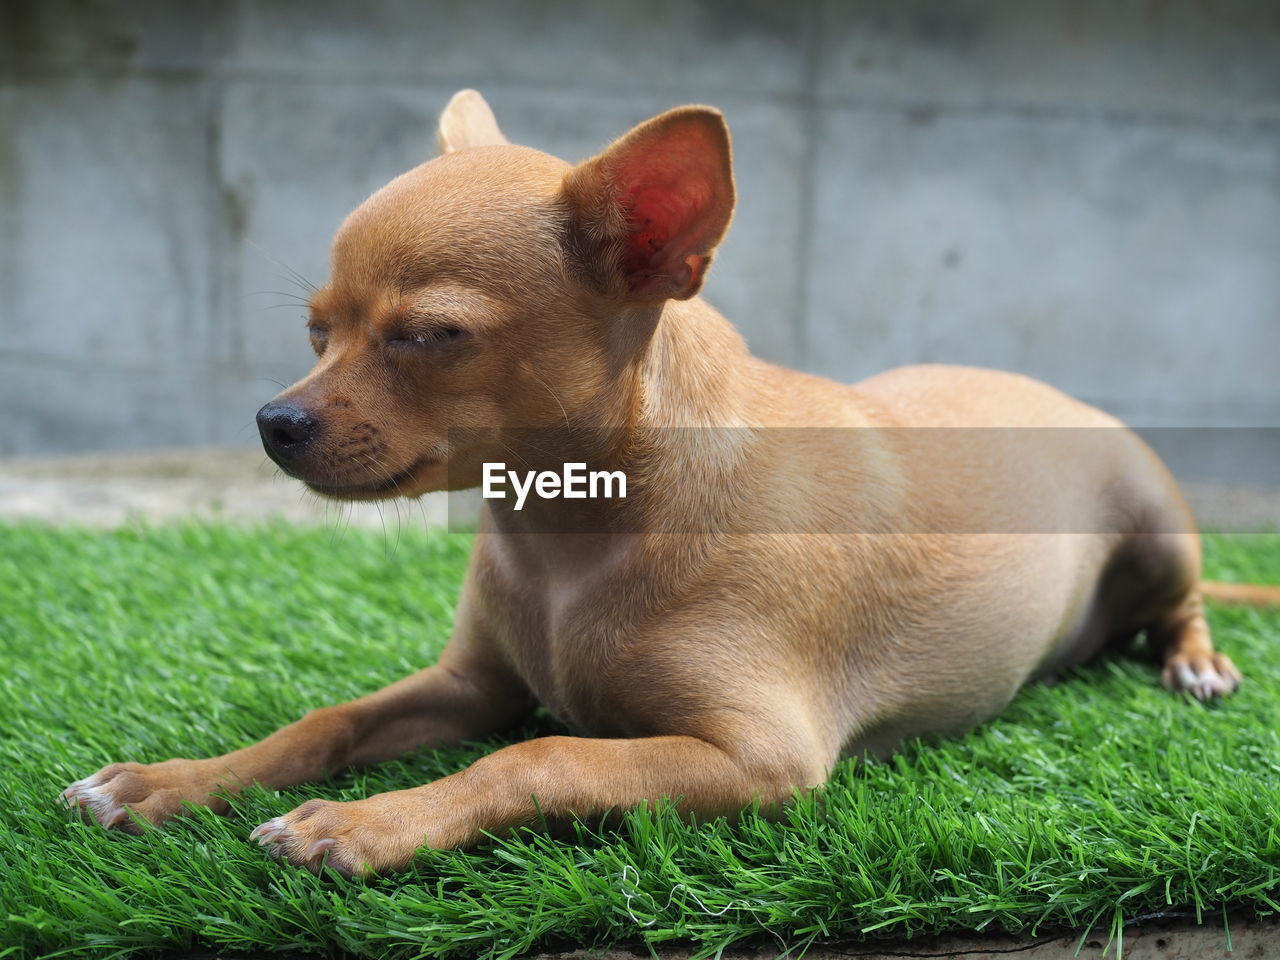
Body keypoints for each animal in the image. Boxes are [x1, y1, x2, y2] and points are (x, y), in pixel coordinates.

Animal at [64, 90, 1274, 880]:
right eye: (316, 333)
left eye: (430, 336)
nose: (275, 422)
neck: (567, 532)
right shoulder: (469, 687)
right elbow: (325, 720)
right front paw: (168, 783)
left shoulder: (756, 755)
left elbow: (539, 754)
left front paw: (363, 826)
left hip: (1156, 516)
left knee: (1182, 603)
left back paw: (1197, 663)